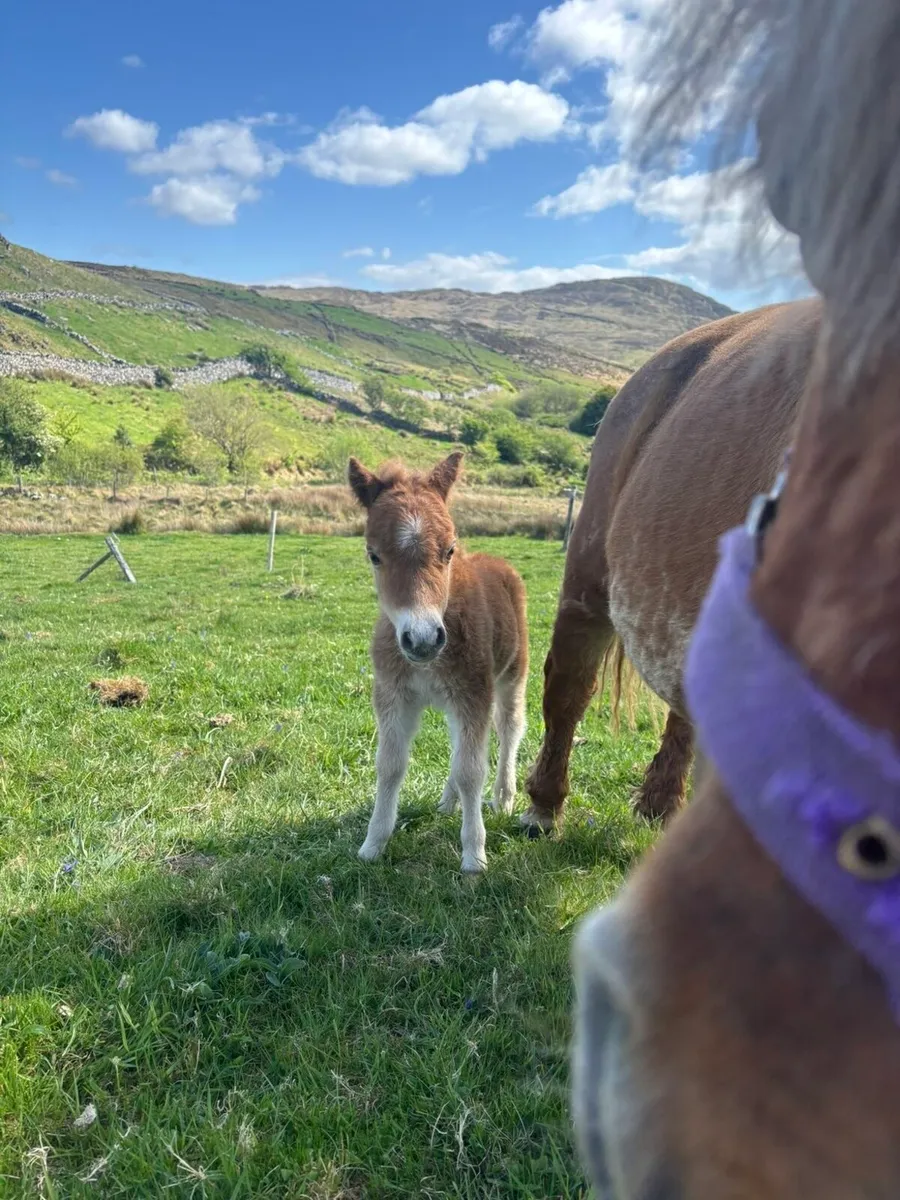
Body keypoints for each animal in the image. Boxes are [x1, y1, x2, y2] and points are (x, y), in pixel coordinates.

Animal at [348, 452, 528, 873]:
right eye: (374, 555)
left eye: (449, 550)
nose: (424, 639)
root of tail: (498, 562)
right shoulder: (393, 694)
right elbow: (390, 764)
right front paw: (372, 844)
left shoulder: (473, 693)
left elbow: (471, 770)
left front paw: (474, 856)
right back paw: (449, 801)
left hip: (511, 673)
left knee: (509, 728)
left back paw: (503, 796)